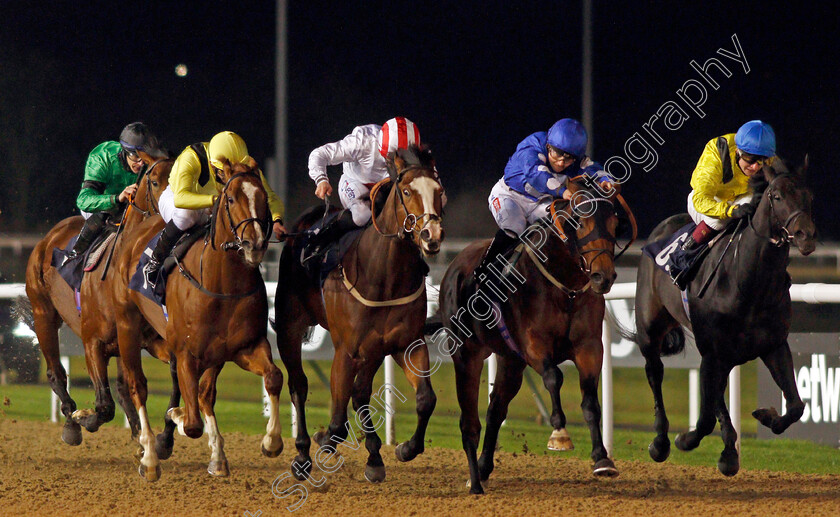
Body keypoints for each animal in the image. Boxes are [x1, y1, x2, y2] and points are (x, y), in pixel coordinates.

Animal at [22, 148, 172, 444]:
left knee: (124, 388)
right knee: (55, 373)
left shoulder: (148, 340)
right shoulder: (92, 342)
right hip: (43, 314)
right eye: (155, 182)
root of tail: (49, 236)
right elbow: (104, 405)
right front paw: (84, 418)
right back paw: (71, 424)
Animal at [111, 157, 284, 480]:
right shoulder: (186, 353)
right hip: (128, 326)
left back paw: (215, 456)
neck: (223, 285)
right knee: (137, 386)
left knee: (204, 394)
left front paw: (271, 441)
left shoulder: (243, 347)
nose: (254, 245)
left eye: (264, 199)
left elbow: (273, 377)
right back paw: (149, 456)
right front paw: (173, 419)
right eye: (231, 199)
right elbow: (191, 424)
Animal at [276, 146, 446, 484]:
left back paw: (374, 456)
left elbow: (425, 399)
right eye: (407, 191)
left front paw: (404, 448)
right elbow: (337, 419)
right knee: (299, 385)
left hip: (372, 351)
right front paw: (323, 439)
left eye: (439, 191)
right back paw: (302, 454)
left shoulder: (404, 344)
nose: (430, 235)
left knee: (360, 394)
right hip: (289, 328)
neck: (383, 273)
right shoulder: (346, 349)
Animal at [440, 176, 624, 492]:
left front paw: (602, 459)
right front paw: (559, 432)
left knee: (496, 407)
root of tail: (454, 265)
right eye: (580, 221)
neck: (564, 287)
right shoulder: (533, 345)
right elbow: (554, 376)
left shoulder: (589, 347)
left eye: (614, 222)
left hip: (510, 360)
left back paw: (483, 467)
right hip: (468, 352)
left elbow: (590, 400)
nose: (603, 277)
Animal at [632, 161, 816, 476]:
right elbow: (706, 416)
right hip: (650, 329)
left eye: (810, 196)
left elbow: (795, 406)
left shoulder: (773, 345)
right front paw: (686, 440)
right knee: (655, 373)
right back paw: (660, 441)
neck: (748, 282)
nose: (806, 235)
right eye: (777, 196)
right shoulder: (714, 350)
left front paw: (765, 417)